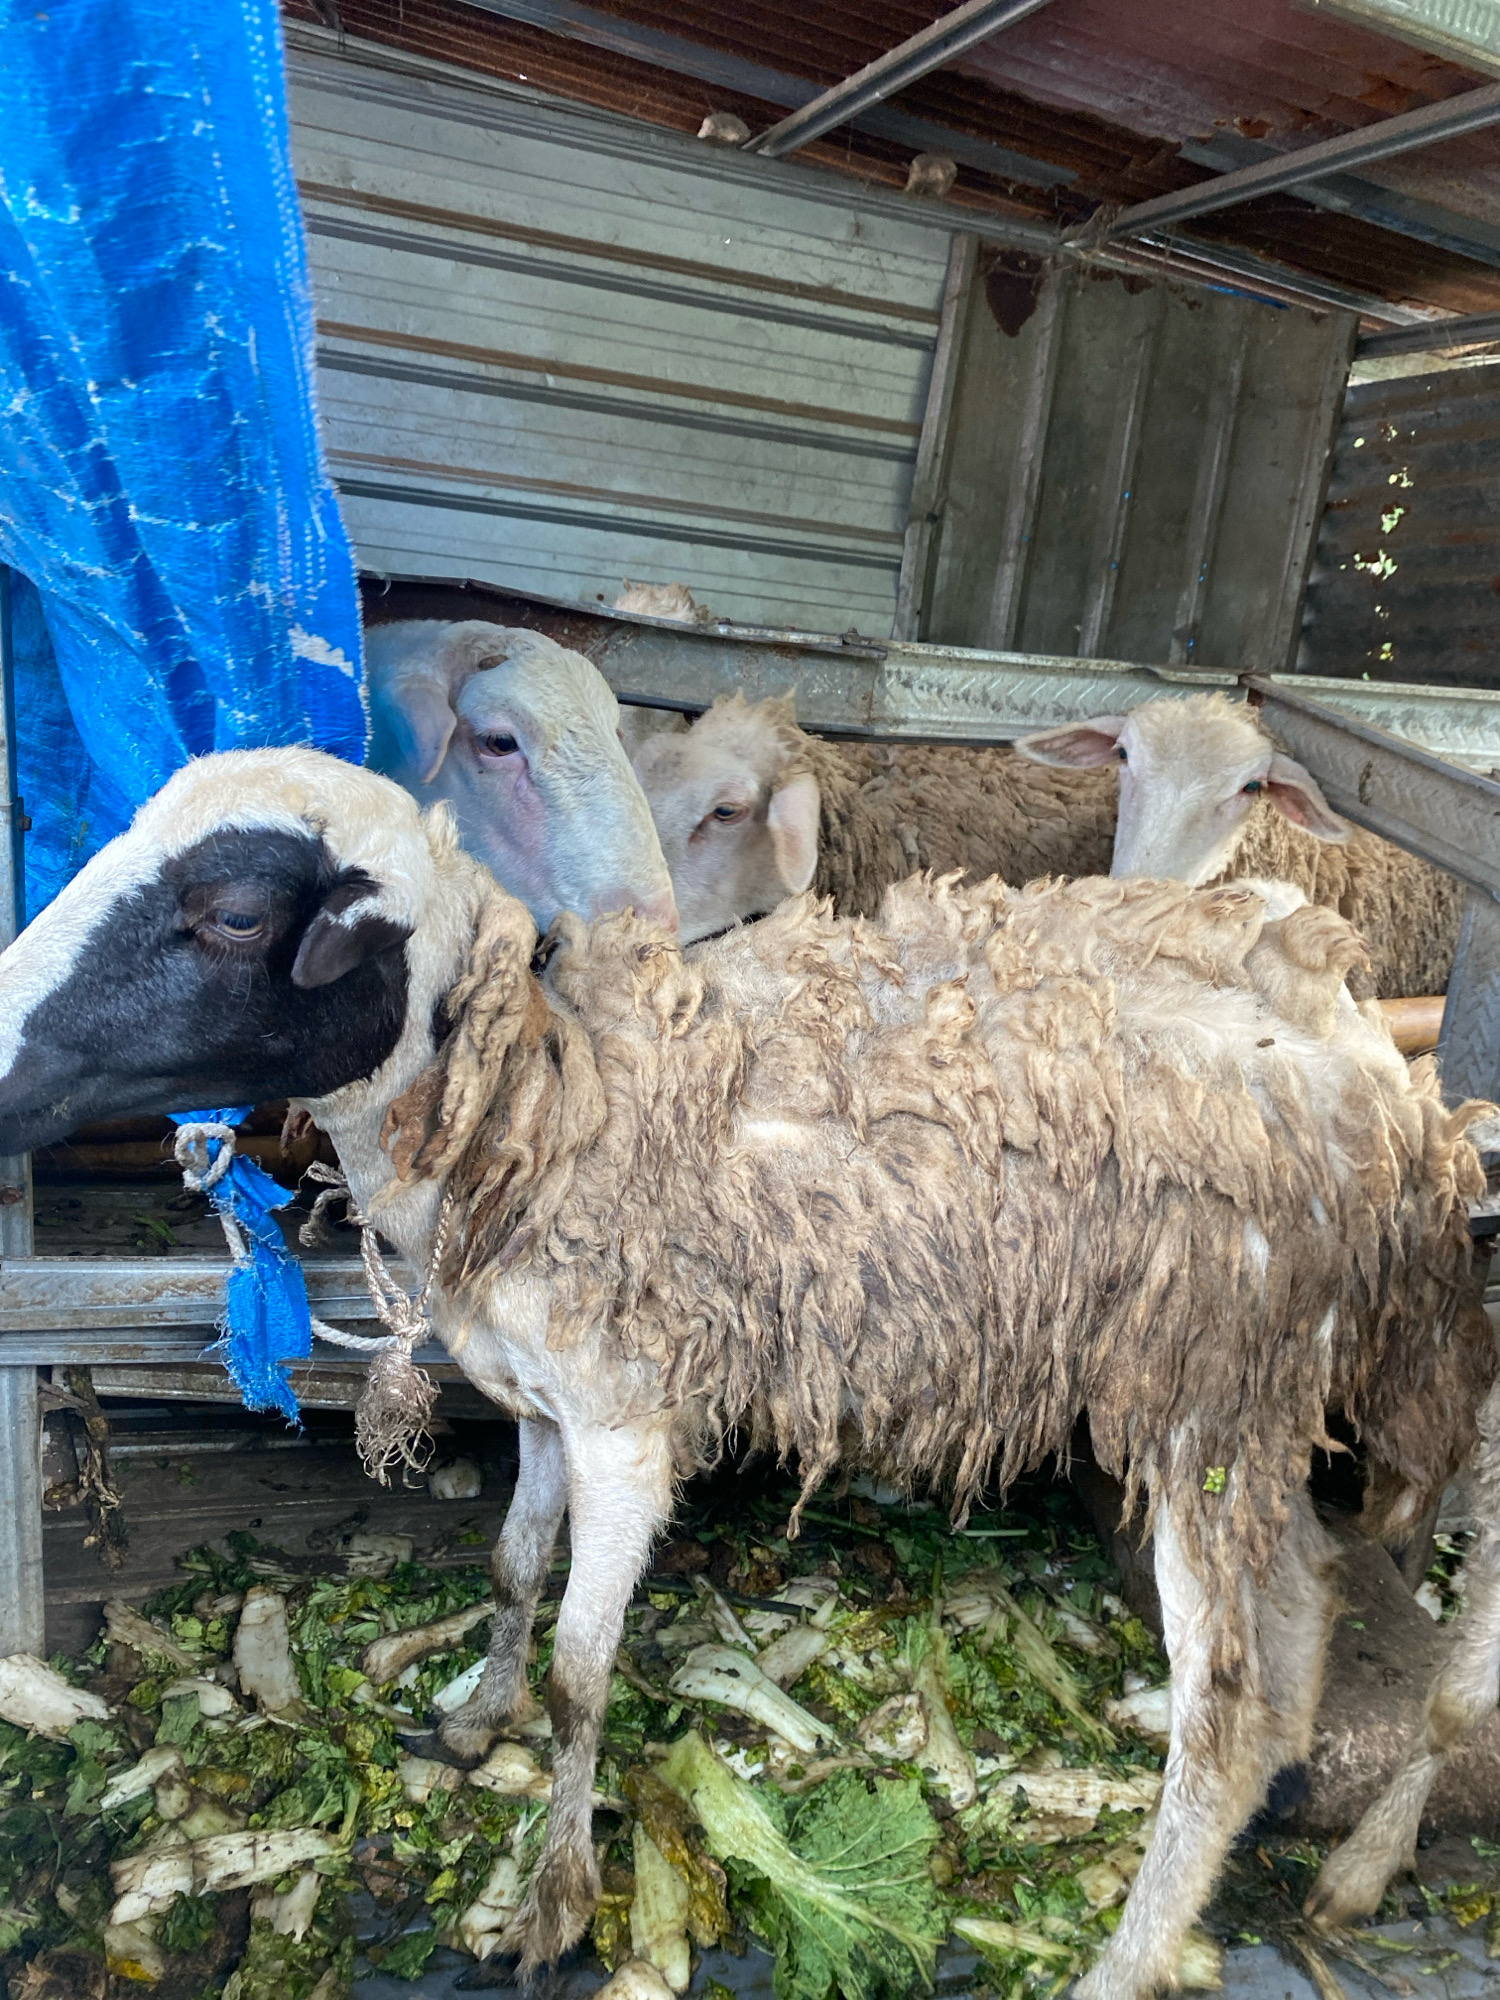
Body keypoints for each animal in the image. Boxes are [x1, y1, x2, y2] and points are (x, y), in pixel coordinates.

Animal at [0, 745, 1491, 1998]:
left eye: (236, 914)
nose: (3, 1074)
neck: (541, 1100)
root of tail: (1383, 1076)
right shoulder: (545, 1404)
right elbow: (513, 1572)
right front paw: (471, 1724)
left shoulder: (626, 1419)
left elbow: (582, 1669)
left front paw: (555, 1896)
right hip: (1256, 1401)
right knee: (1297, 1629)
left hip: (1209, 1388)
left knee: (1228, 1711)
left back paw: (1130, 1957)